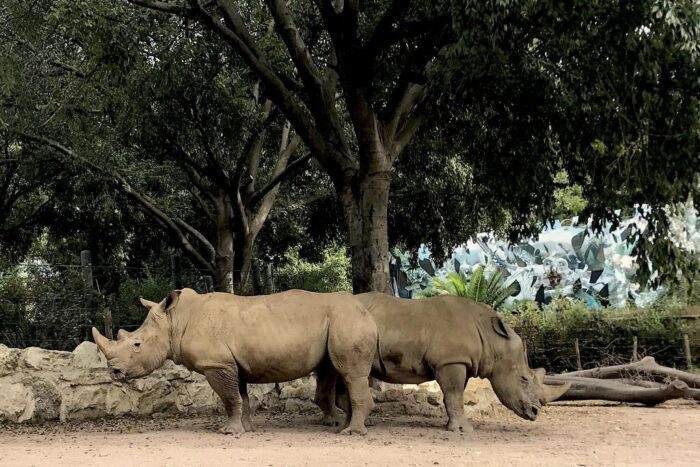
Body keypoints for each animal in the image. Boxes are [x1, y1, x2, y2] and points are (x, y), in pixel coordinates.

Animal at [94, 288, 378, 436]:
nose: (113, 371)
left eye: (137, 344)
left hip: (347, 320)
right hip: (340, 321)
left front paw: (228, 432)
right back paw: (343, 425)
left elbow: (229, 398)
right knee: (334, 371)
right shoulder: (231, 364)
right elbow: (241, 397)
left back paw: (352, 433)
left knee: (350, 373)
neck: (175, 321)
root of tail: (366, 312)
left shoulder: (216, 364)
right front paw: (246, 428)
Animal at [314, 294, 568, 434]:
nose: (535, 412)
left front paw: (453, 426)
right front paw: (463, 430)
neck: (493, 340)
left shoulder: (460, 362)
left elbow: (455, 396)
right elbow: (454, 394)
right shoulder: (451, 361)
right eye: (523, 379)